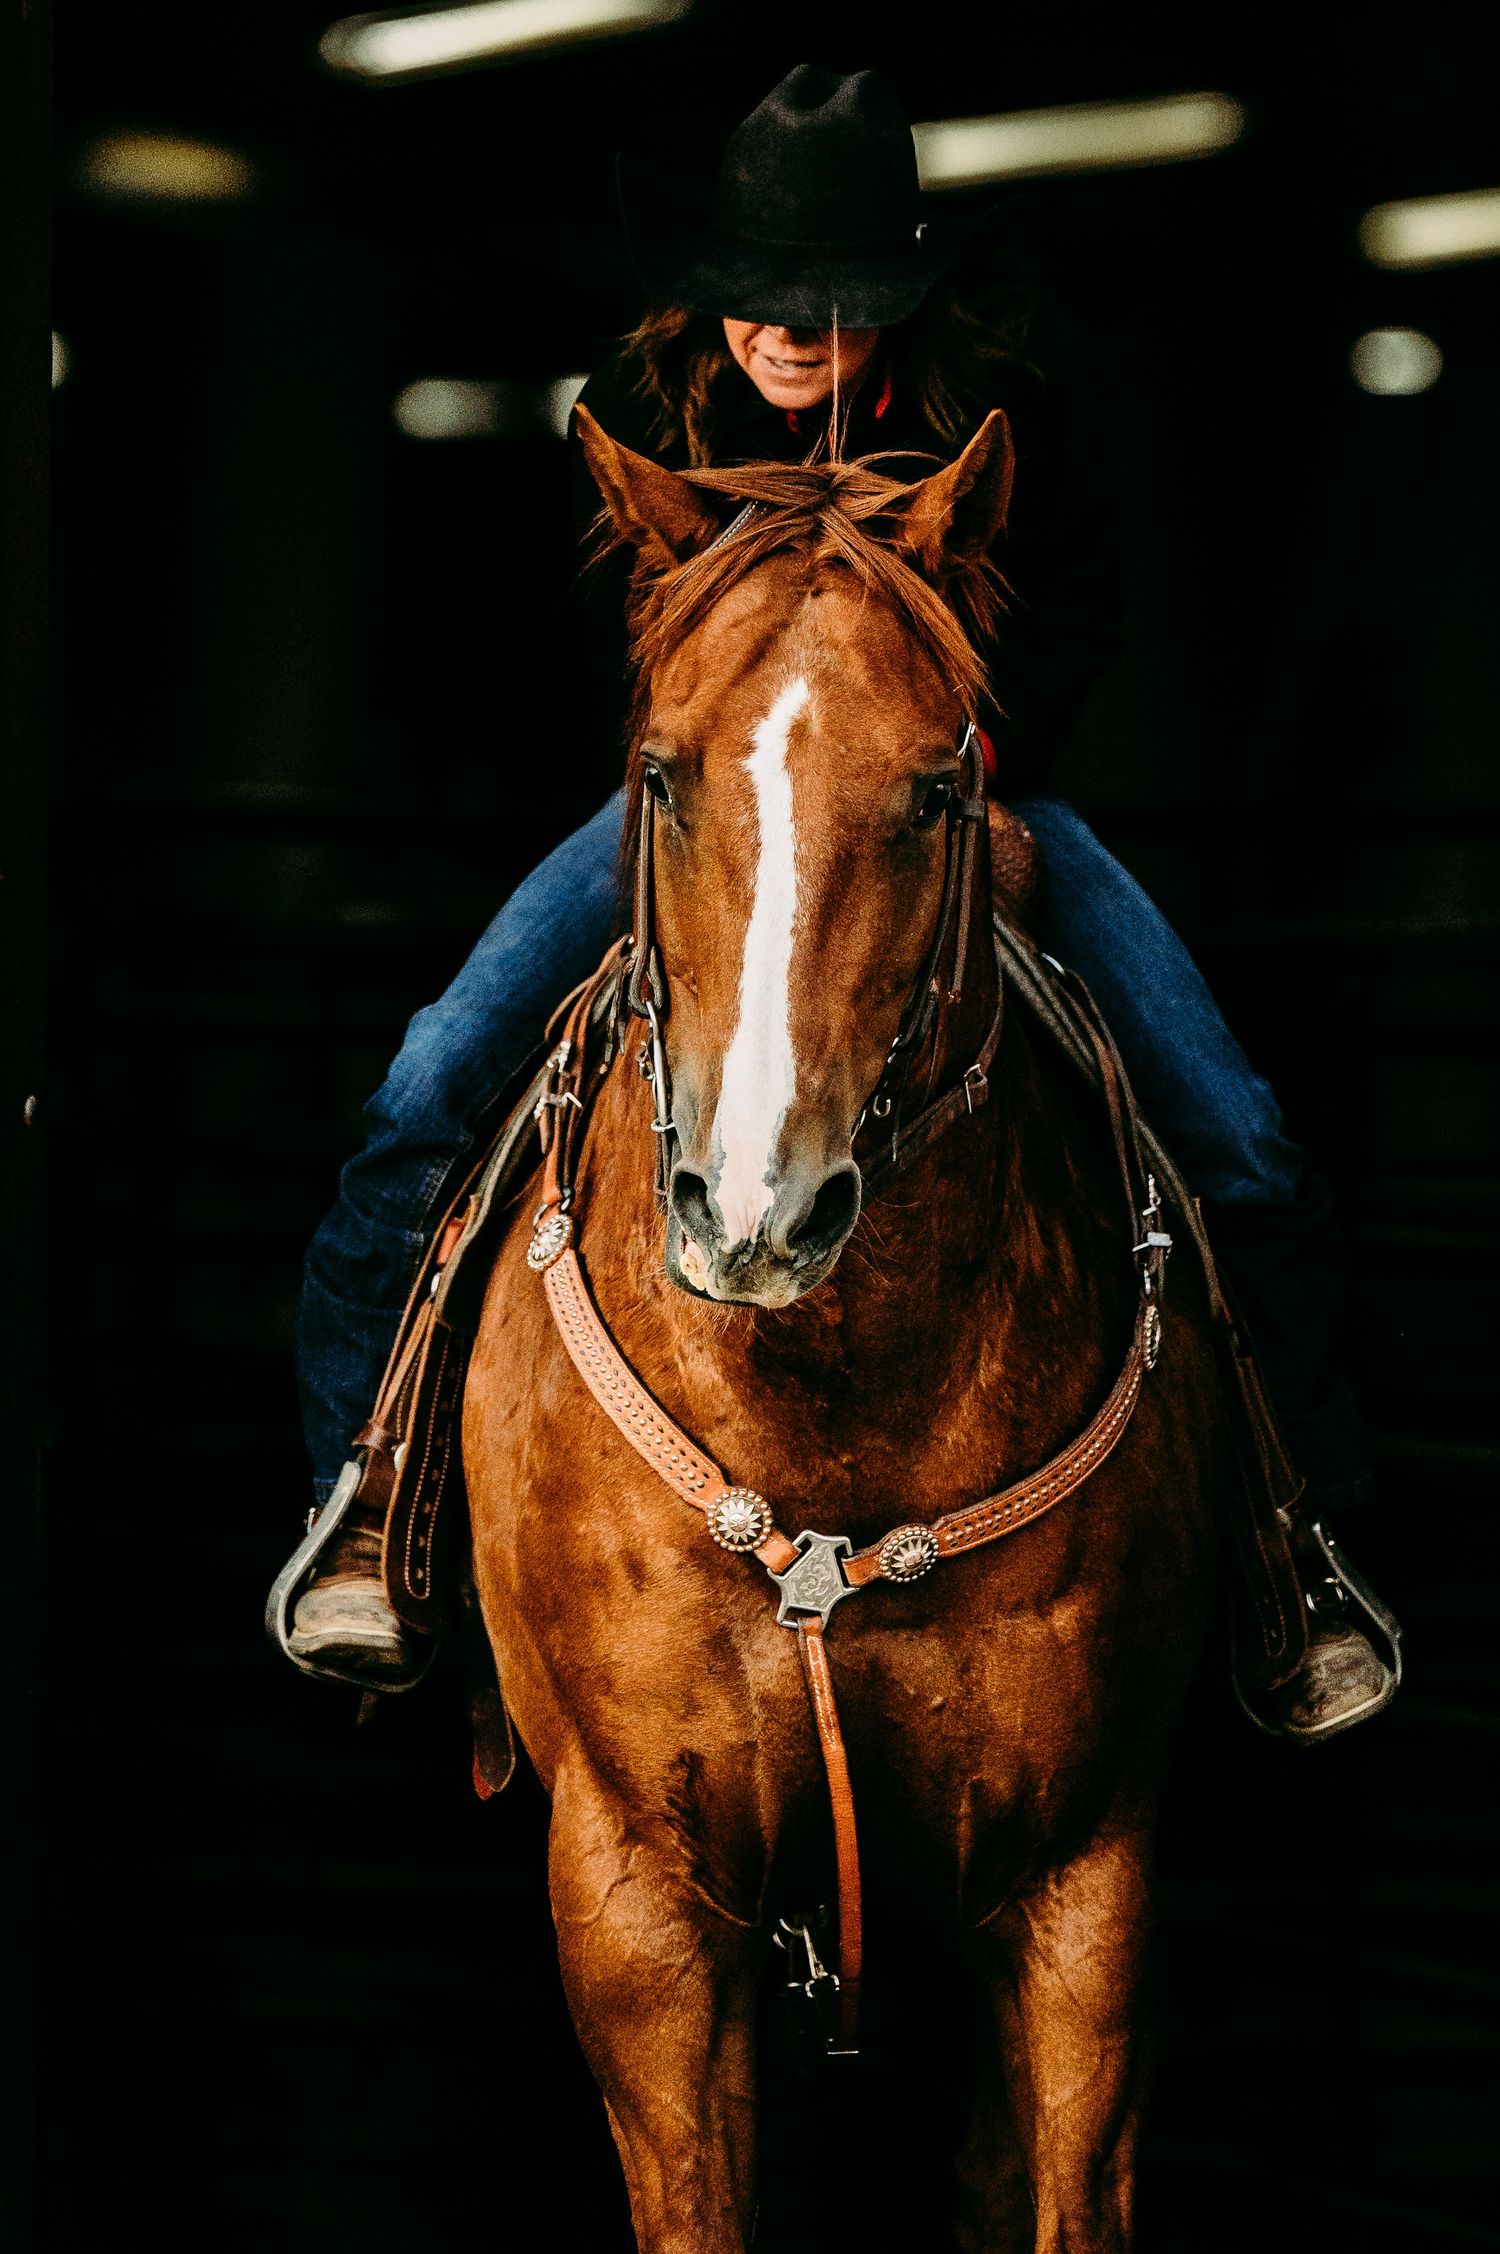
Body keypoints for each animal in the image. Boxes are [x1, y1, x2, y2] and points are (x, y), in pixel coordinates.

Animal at [461, 405, 1228, 2252]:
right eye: (661, 773)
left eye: (939, 789)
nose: (755, 1207)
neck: (828, 1410)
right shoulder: (639, 1899)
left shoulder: (1086, 1883)